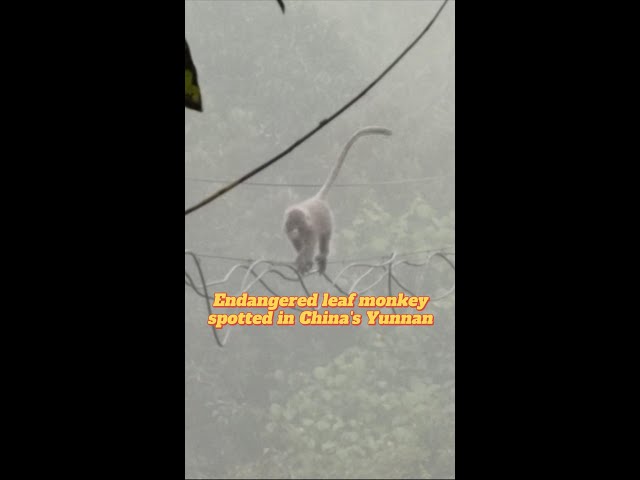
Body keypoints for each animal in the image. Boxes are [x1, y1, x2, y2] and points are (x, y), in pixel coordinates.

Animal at [284, 125, 390, 276]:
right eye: (293, 224)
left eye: (300, 223)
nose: (295, 230)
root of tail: (317, 199)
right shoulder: (288, 227)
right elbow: (296, 241)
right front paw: (301, 257)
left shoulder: (309, 228)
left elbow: (310, 242)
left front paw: (304, 260)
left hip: (327, 218)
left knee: (324, 237)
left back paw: (322, 256)